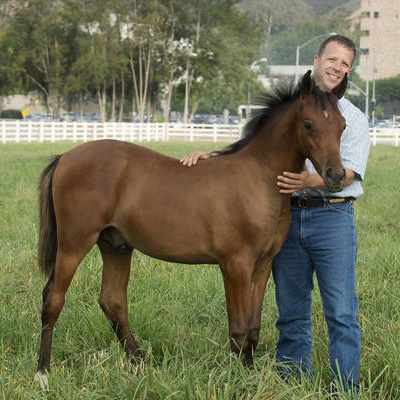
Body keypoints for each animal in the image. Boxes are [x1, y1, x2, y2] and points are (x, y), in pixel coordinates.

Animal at [34, 72, 346, 384]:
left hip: (116, 246)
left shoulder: (264, 264)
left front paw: (250, 374)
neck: (257, 179)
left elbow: (254, 328)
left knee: (112, 302)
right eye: (308, 123)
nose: (336, 176)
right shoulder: (235, 265)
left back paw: (140, 364)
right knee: (53, 299)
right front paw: (239, 381)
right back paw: (42, 372)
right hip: (74, 244)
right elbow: (239, 329)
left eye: (342, 125)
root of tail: (65, 157)